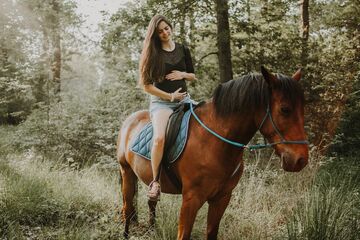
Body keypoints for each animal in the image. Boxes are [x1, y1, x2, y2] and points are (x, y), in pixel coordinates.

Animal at [116, 67, 308, 240]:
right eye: (285, 109)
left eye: (302, 109)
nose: (301, 160)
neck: (214, 141)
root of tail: (129, 120)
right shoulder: (191, 199)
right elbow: (184, 235)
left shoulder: (221, 198)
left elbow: (211, 233)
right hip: (127, 173)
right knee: (127, 208)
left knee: (149, 204)